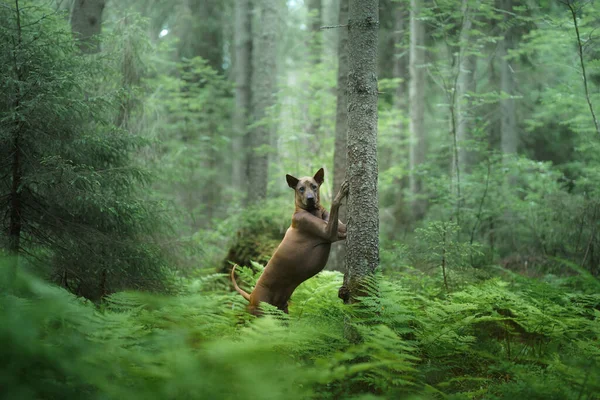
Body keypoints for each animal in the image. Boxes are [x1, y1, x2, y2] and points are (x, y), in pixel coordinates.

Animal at [232, 169, 350, 316]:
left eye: (314, 186)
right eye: (301, 189)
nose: (310, 198)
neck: (312, 211)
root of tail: (250, 295)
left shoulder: (340, 228)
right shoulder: (329, 233)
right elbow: (334, 204)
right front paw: (340, 193)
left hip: (283, 312)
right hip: (262, 313)